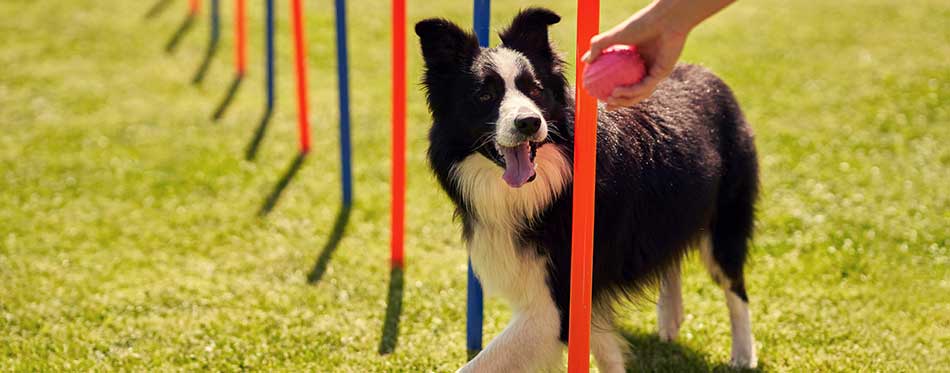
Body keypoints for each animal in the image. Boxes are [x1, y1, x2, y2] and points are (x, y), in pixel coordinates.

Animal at [420, 7, 764, 370]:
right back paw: (670, 317)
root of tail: (706, 74)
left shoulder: (556, 304)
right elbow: (603, 344)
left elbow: (479, 364)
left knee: (735, 285)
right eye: (485, 95)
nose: (529, 122)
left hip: (727, 217)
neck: (545, 189)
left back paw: (743, 353)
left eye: (535, 90)